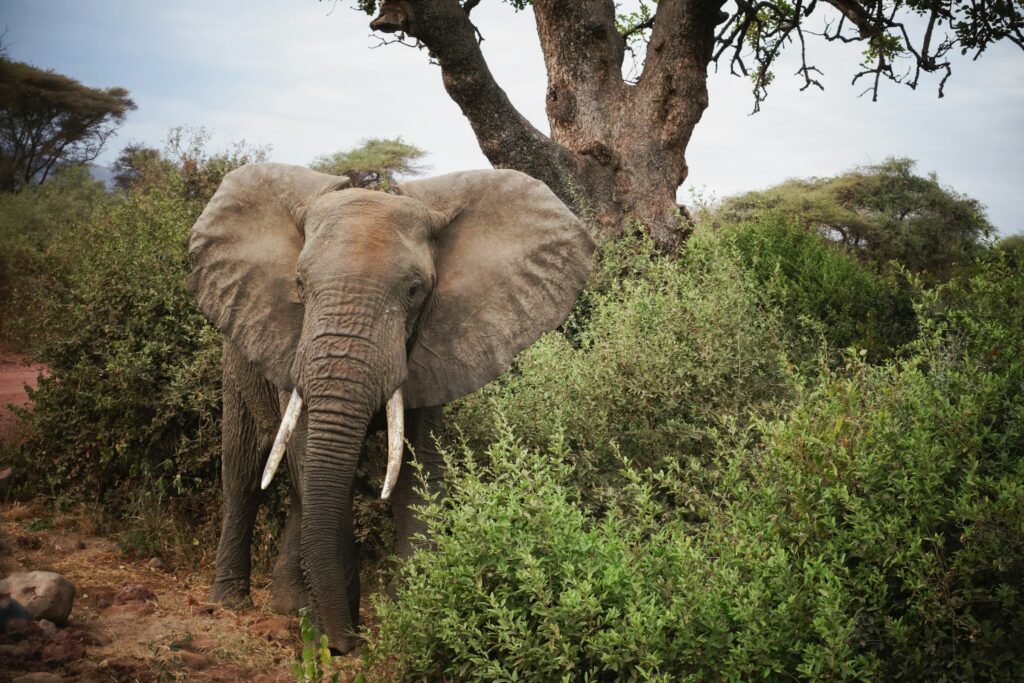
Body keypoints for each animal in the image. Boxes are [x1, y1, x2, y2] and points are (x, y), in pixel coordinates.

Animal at [188, 162, 598, 655]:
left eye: (415, 290)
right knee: (246, 471)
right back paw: (231, 602)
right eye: (300, 284)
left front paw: (411, 617)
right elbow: (312, 460)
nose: (344, 645)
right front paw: (338, 634)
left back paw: (290, 607)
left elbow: (419, 470)